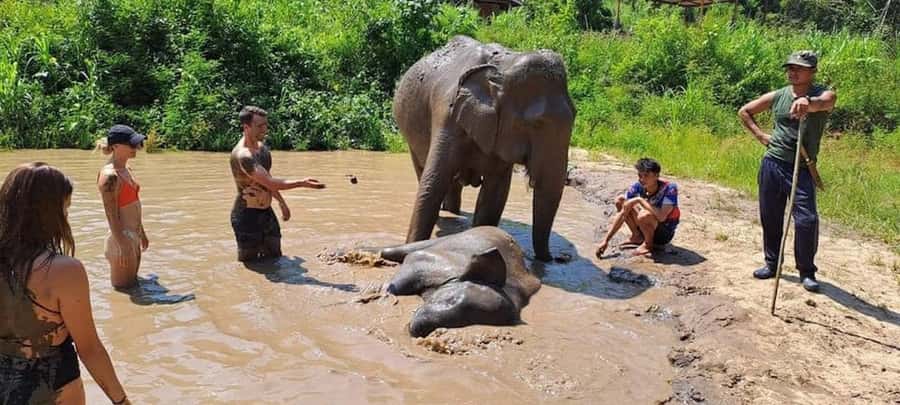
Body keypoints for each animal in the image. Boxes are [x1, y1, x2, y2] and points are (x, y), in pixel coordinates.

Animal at [381, 226, 542, 337]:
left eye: (466, 322)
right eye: (450, 299)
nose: (418, 329)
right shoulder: (424, 259)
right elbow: (396, 285)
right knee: (389, 251)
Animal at [392, 35, 576, 262]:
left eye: (575, 115)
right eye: (536, 124)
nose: (554, 258)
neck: (504, 67)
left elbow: (494, 194)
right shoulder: (448, 114)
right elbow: (432, 184)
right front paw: (411, 246)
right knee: (424, 171)